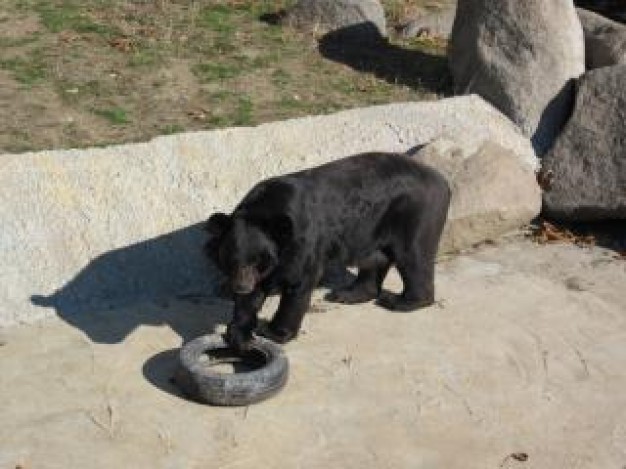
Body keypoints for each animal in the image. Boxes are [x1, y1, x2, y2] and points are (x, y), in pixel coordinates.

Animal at [205, 152, 448, 350]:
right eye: (231, 259)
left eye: (258, 260)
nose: (241, 286)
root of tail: (441, 180)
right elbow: (251, 298)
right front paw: (240, 334)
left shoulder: (302, 240)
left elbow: (299, 281)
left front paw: (273, 332)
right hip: (372, 225)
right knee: (374, 260)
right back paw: (347, 294)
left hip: (414, 215)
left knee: (413, 256)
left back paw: (400, 301)